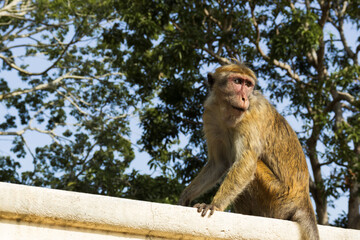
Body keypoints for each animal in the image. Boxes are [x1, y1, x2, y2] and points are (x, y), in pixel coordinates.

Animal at [179, 63, 320, 240]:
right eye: (237, 81)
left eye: (248, 85)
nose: (244, 98)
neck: (227, 114)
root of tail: (304, 201)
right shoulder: (210, 115)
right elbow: (219, 163)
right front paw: (185, 196)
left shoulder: (252, 114)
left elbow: (246, 162)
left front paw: (215, 205)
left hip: (279, 198)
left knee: (254, 166)